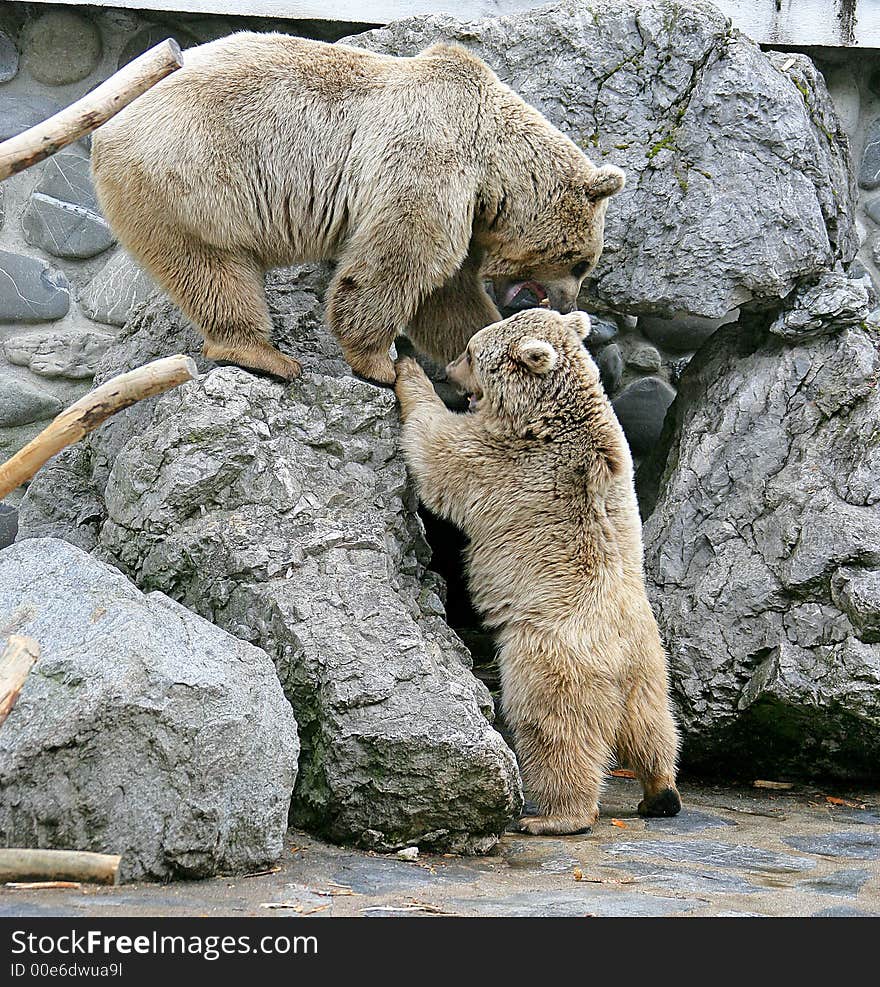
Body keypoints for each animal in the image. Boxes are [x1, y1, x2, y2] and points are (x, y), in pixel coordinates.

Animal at [91, 31, 624, 386]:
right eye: (582, 263)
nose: (568, 304)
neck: (493, 161)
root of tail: (106, 125)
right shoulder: (430, 158)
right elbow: (400, 258)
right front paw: (379, 363)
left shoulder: (465, 208)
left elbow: (448, 296)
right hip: (191, 174)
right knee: (213, 268)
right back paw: (263, 355)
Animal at [396, 308, 684, 832]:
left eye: (471, 352)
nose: (449, 370)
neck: (550, 413)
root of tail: (622, 658)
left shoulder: (510, 460)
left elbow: (440, 452)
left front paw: (406, 362)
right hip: (651, 666)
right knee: (652, 725)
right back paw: (660, 791)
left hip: (552, 657)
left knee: (554, 728)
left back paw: (554, 815)